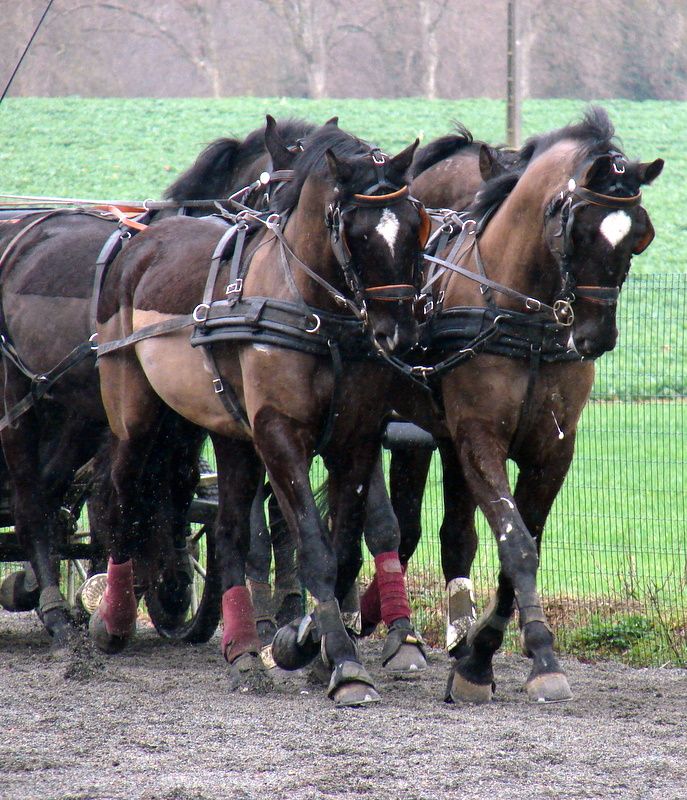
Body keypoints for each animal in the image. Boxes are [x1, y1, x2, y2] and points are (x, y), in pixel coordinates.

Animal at [0, 116, 316, 648]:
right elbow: (120, 495)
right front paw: (120, 594)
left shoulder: (187, 423)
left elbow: (179, 489)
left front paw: (172, 584)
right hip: (22, 399)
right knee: (28, 494)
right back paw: (53, 607)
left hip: (73, 413)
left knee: (50, 488)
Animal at [93, 124, 429, 706]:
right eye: (358, 233)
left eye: (413, 226)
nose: (399, 335)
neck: (316, 313)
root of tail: (142, 241)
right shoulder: (278, 435)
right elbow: (314, 548)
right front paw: (342, 664)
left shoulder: (356, 438)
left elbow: (344, 550)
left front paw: (307, 642)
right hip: (135, 416)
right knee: (124, 498)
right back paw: (113, 620)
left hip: (229, 435)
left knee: (226, 532)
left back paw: (243, 651)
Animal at [359, 107, 663, 703]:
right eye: (577, 227)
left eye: (637, 234)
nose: (596, 336)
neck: (523, 318)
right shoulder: (479, 439)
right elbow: (515, 542)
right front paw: (527, 656)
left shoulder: (552, 450)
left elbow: (521, 543)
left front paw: (481, 653)